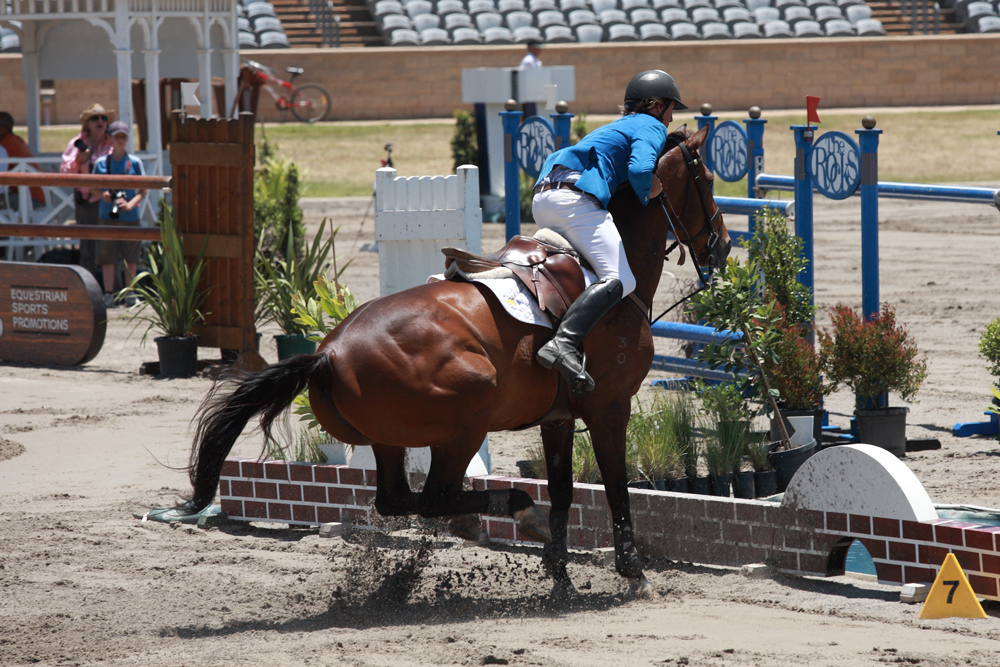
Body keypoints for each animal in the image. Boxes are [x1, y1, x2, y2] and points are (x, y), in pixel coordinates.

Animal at [182, 124, 728, 596]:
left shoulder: (558, 417)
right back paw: (510, 511)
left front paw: (560, 577)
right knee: (434, 496)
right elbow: (615, 487)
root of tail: (328, 354)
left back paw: (493, 520)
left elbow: (565, 489)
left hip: (389, 438)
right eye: (706, 180)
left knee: (397, 499)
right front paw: (633, 573)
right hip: (467, 414)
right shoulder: (609, 407)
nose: (721, 246)